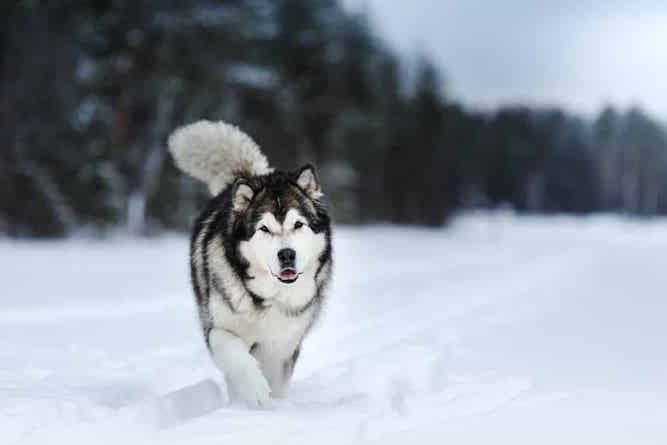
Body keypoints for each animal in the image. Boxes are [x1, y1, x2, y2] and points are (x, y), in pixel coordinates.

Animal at [168, 119, 332, 406]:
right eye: (264, 228)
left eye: (298, 224)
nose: (286, 255)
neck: (266, 299)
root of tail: (250, 176)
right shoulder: (218, 328)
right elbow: (234, 354)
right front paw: (254, 391)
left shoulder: (282, 346)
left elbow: (277, 378)